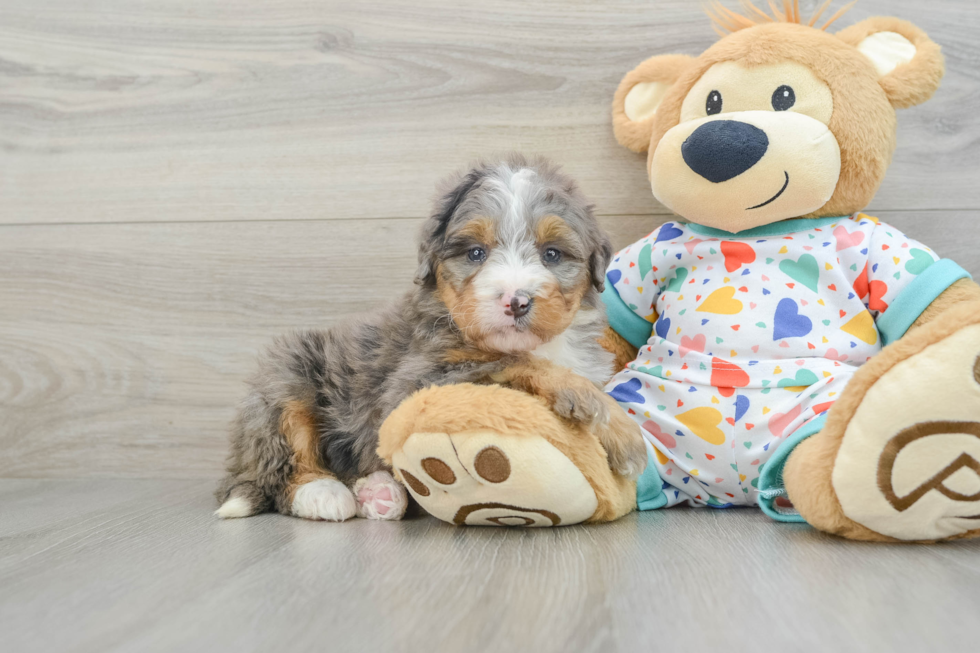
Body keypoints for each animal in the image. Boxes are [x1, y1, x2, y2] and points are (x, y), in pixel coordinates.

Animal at [217, 155, 648, 524]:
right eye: (475, 253)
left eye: (552, 254)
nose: (517, 302)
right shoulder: (413, 381)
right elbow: (515, 361)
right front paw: (619, 430)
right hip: (288, 377)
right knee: (282, 467)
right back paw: (324, 493)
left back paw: (380, 493)